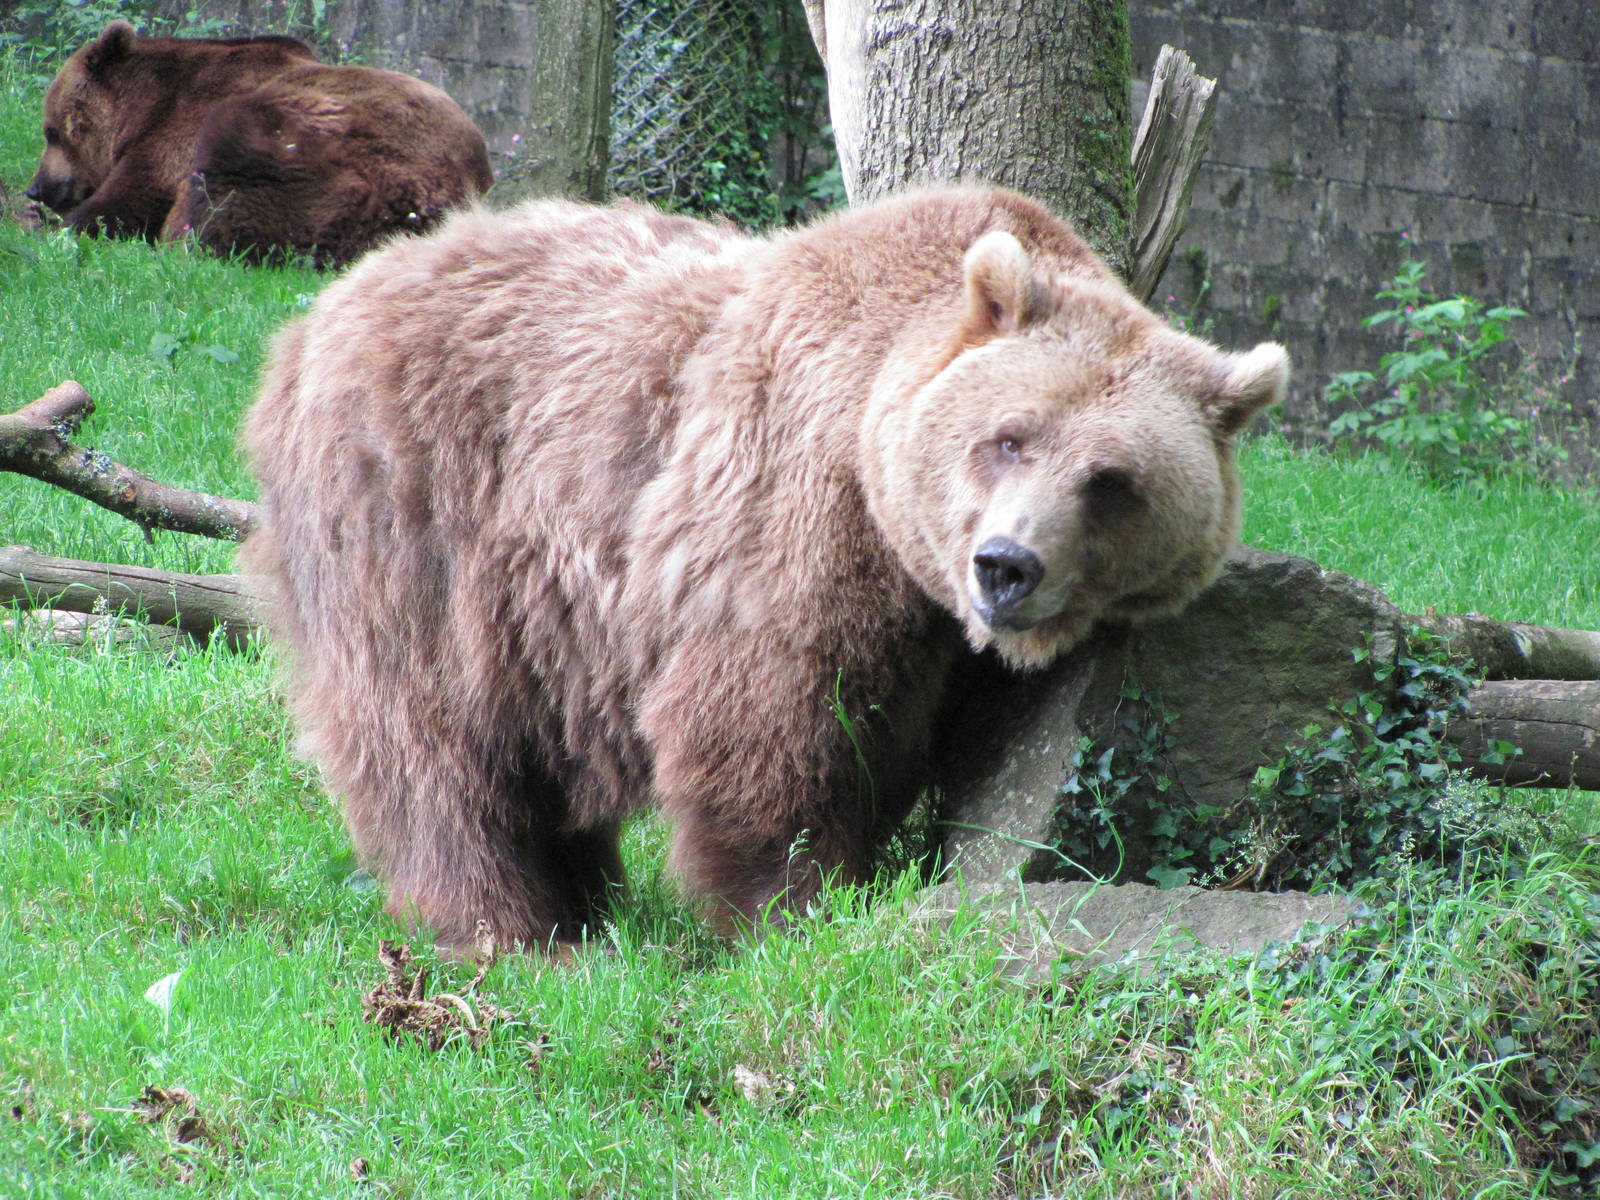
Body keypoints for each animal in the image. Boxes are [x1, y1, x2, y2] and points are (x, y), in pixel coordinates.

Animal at [25, 21, 493, 268]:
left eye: (52, 131)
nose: (37, 188)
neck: (146, 107)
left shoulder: (175, 134)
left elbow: (124, 203)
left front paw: (51, 223)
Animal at [241, 185, 1288, 955]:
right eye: (1008, 438)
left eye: (1113, 483)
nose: (1006, 567)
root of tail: (317, 313)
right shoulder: (786, 511)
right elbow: (773, 722)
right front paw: (796, 909)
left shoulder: (938, 640)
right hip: (415, 513)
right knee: (429, 741)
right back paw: (504, 923)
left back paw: (580, 898)